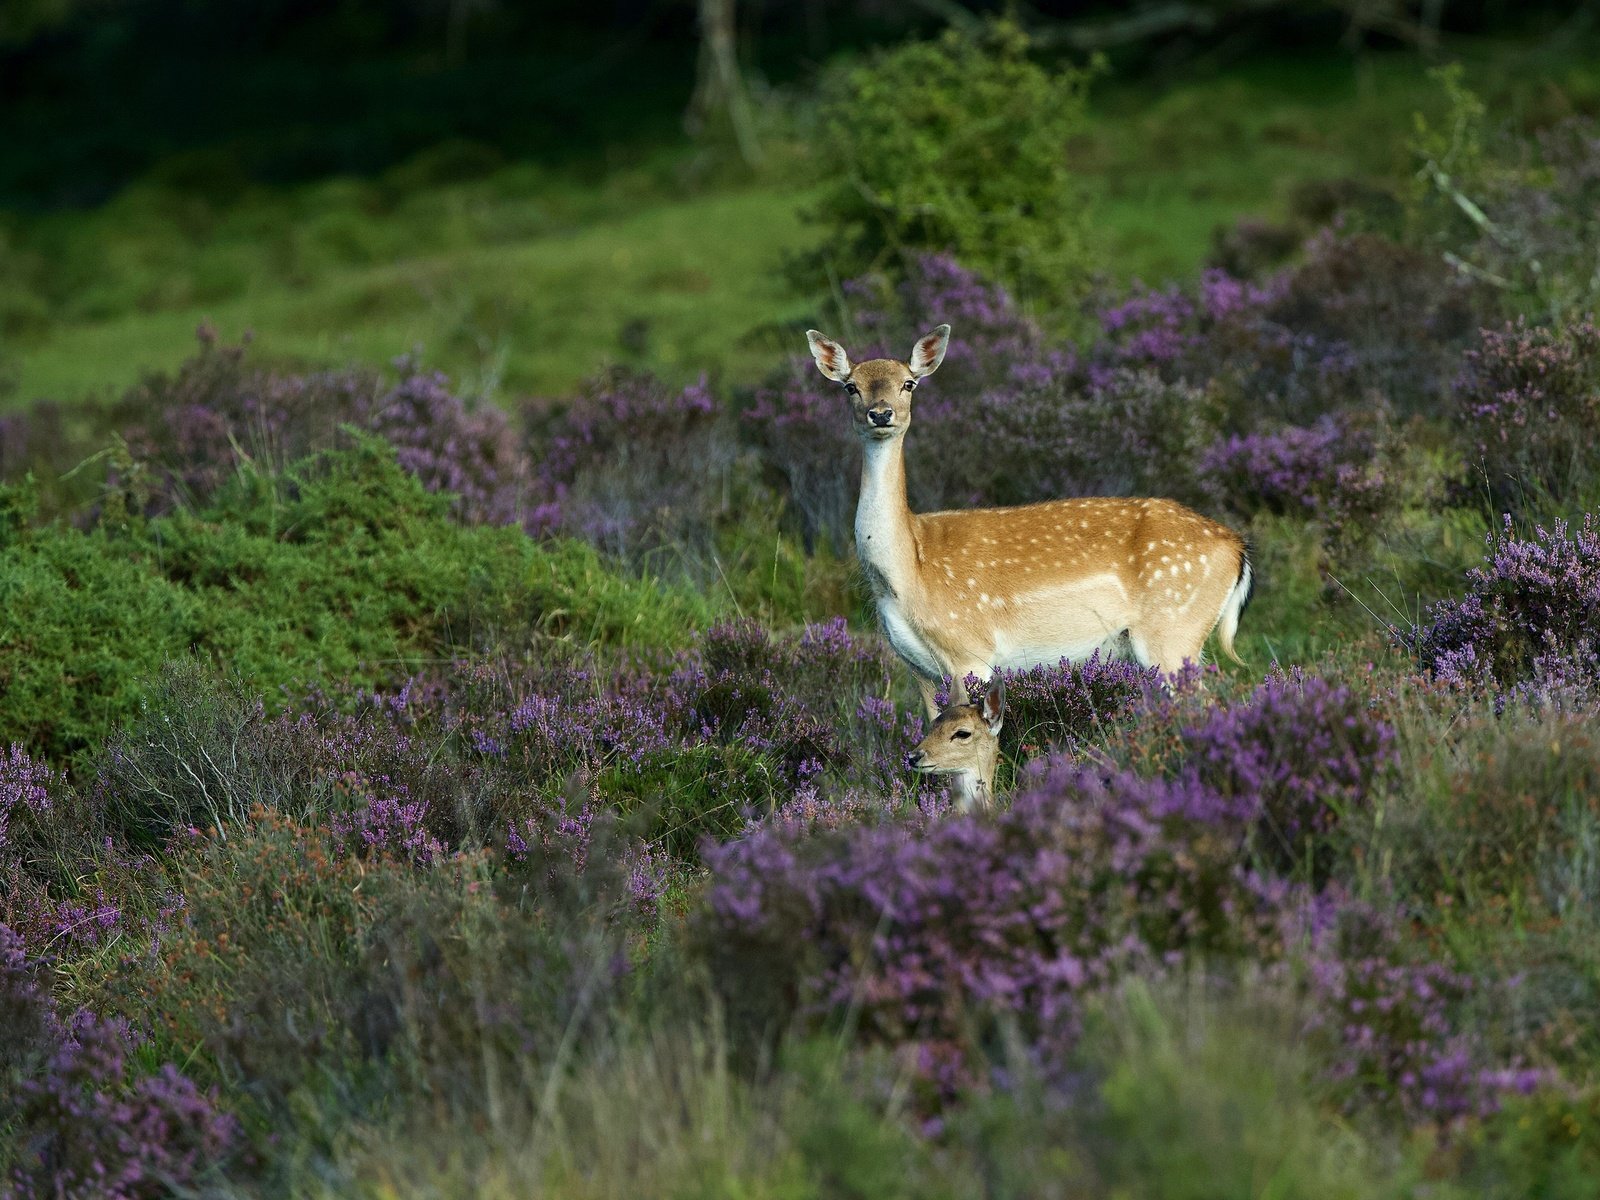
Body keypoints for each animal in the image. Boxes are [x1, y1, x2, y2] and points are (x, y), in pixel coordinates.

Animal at [806, 321, 1254, 713]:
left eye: (908, 383)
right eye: (850, 386)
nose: (881, 414)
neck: (906, 573)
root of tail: (1237, 548)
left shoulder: (971, 652)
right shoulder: (918, 670)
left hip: (1173, 631)